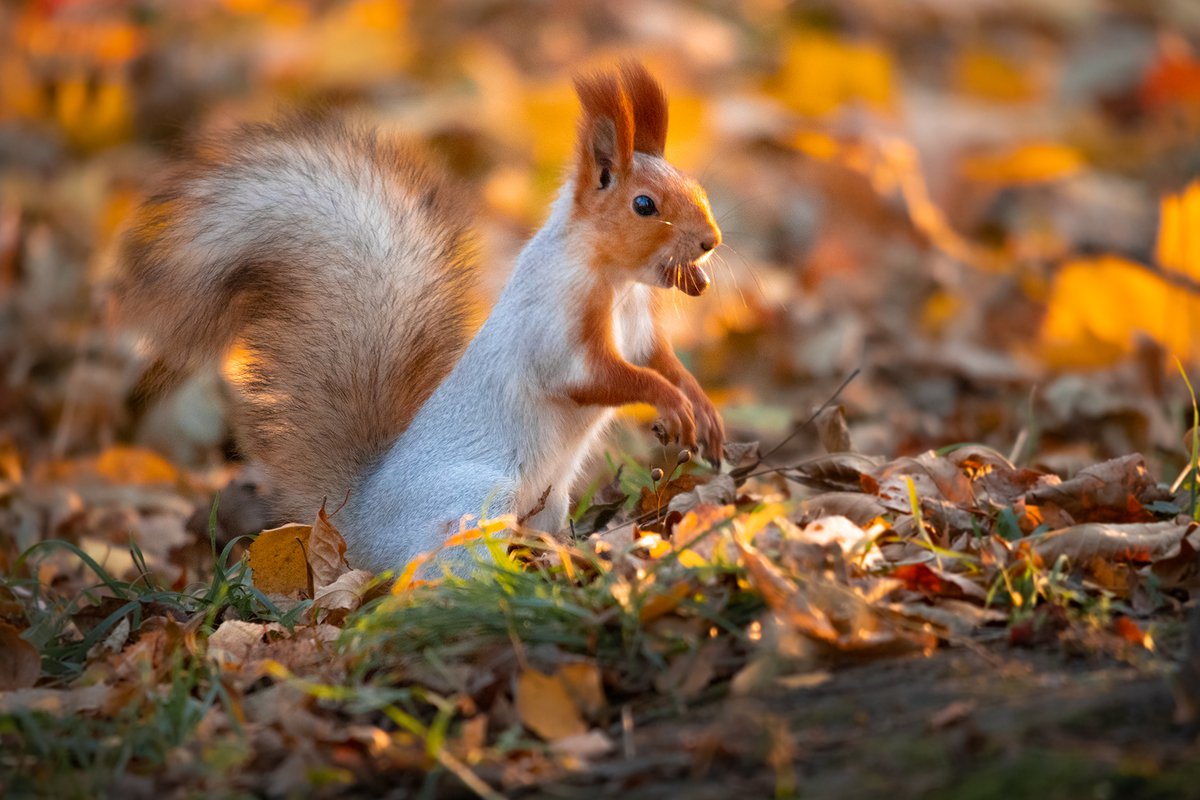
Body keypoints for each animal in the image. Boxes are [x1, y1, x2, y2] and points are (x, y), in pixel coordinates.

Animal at [114, 62, 720, 575]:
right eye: (643, 205)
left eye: (697, 187)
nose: (711, 242)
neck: (616, 282)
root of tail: (354, 526)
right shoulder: (554, 327)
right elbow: (599, 376)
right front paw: (668, 400)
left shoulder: (638, 328)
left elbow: (656, 359)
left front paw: (699, 404)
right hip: (473, 503)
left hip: (549, 499)